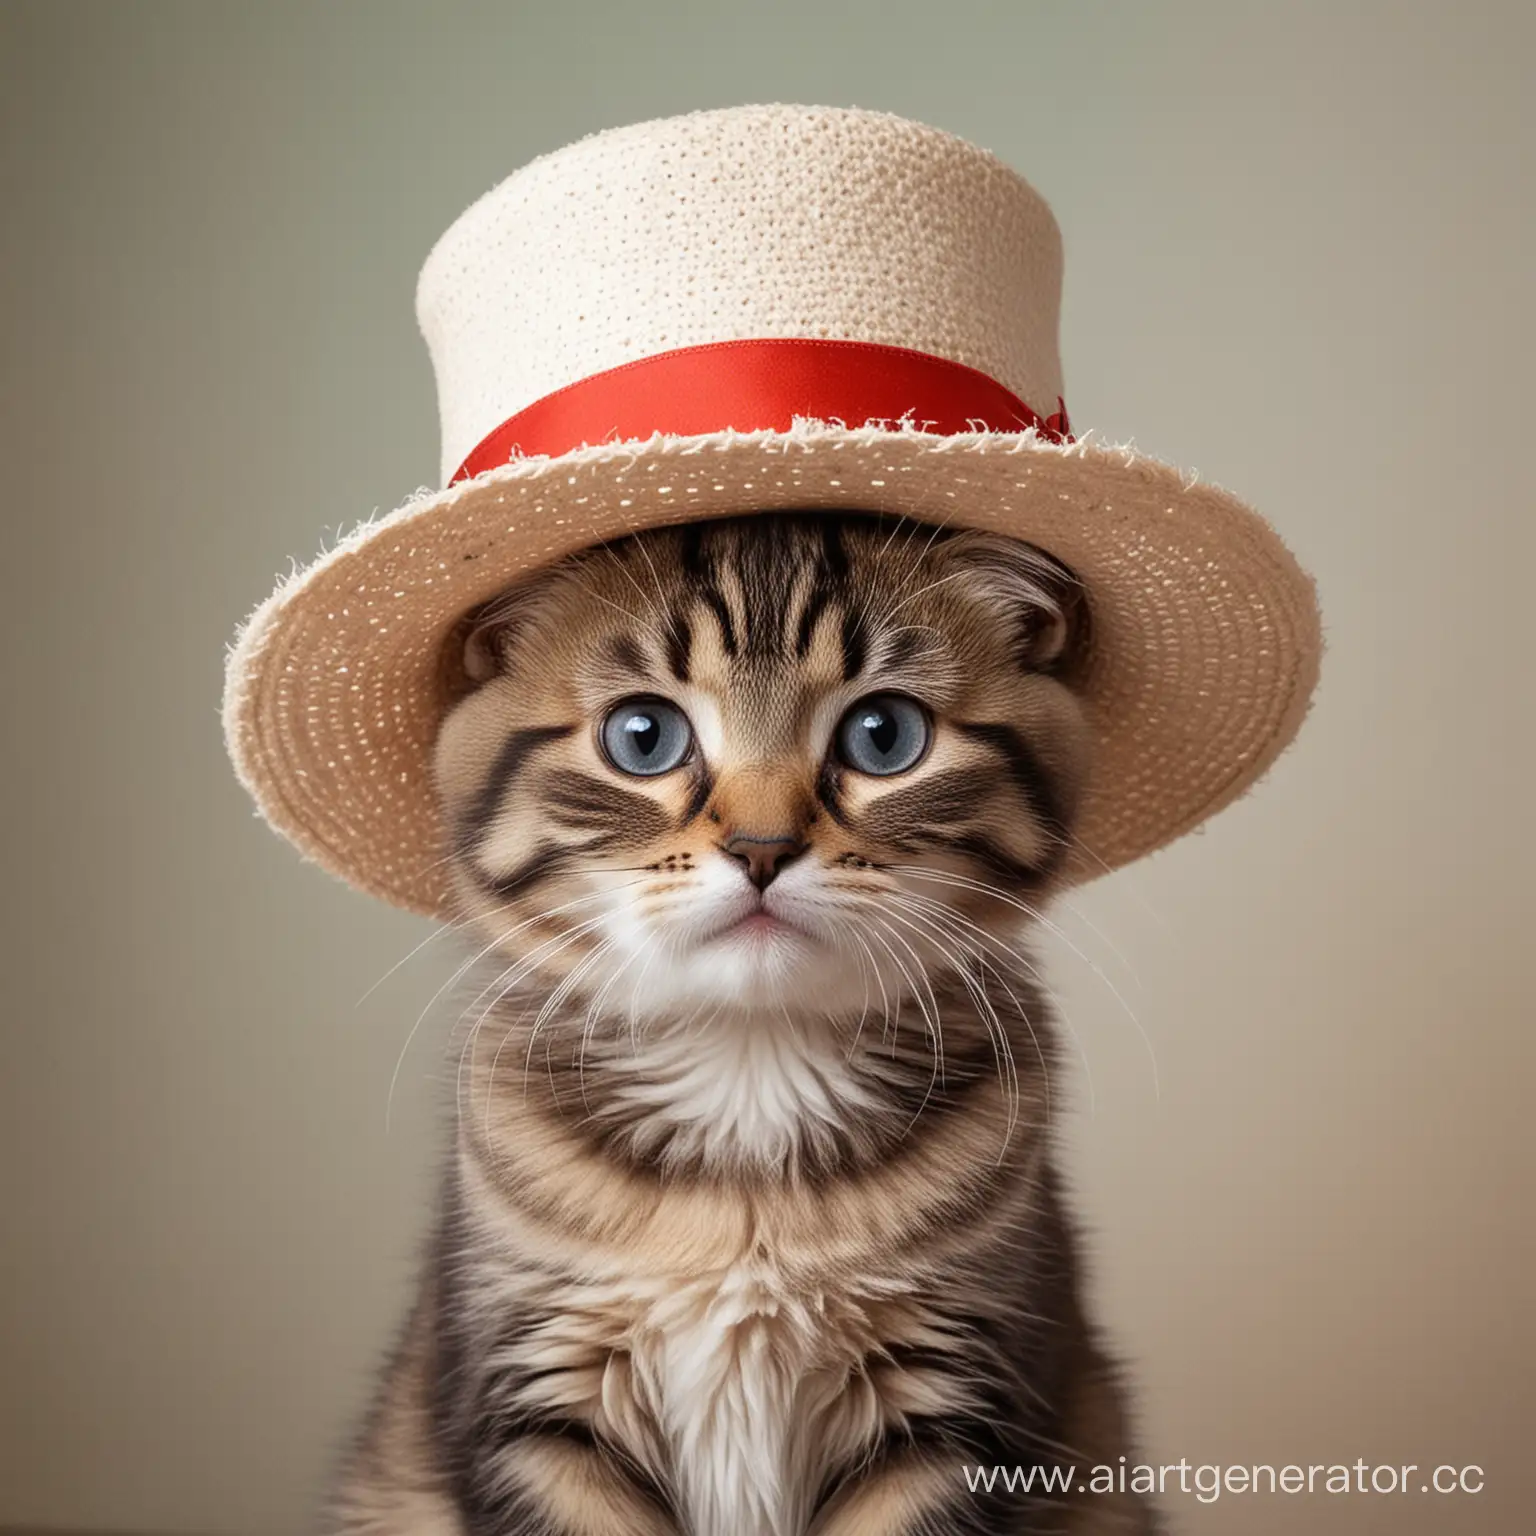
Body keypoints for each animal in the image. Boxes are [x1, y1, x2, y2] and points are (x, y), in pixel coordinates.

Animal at [333, 513, 1155, 1536]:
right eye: (643, 736)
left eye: (885, 735)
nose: (763, 850)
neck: (750, 1070)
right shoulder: (536, 1394)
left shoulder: (951, 1396)